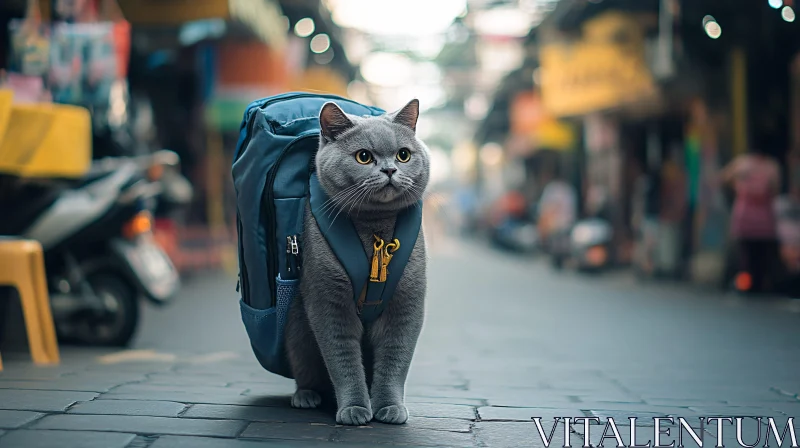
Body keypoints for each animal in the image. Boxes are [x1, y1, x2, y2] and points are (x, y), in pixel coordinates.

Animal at [284, 100, 428, 426]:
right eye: (364, 157)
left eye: (403, 154)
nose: (390, 169)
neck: (374, 231)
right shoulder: (329, 302)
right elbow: (343, 360)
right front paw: (355, 409)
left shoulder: (407, 302)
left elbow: (395, 358)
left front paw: (389, 407)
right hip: (298, 329)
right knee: (307, 372)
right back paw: (306, 396)